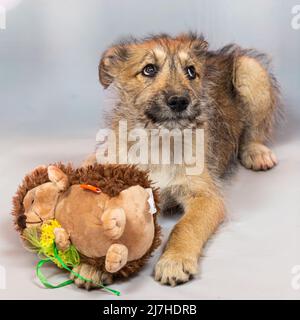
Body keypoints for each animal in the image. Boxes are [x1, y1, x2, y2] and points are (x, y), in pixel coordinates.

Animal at [82, 33, 282, 288]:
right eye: (149, 69)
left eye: (191, 72)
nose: (179, 101)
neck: (159, 142)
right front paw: (92, 262)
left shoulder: (206, 197)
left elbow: (185, 226)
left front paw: (174, 261)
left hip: (251, 70)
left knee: (254, 132)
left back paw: (257, 153)